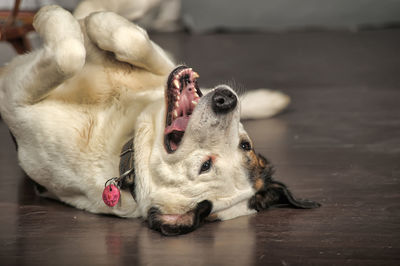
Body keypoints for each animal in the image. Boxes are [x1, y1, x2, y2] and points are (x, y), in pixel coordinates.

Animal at [0, 5, 318, 235]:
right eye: (245, 145)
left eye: (204, 166)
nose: (226, 101)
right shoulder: (163, 67)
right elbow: (133, 40)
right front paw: (99, 22)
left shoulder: (16, 99)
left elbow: (68, 55)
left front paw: (53, 16)